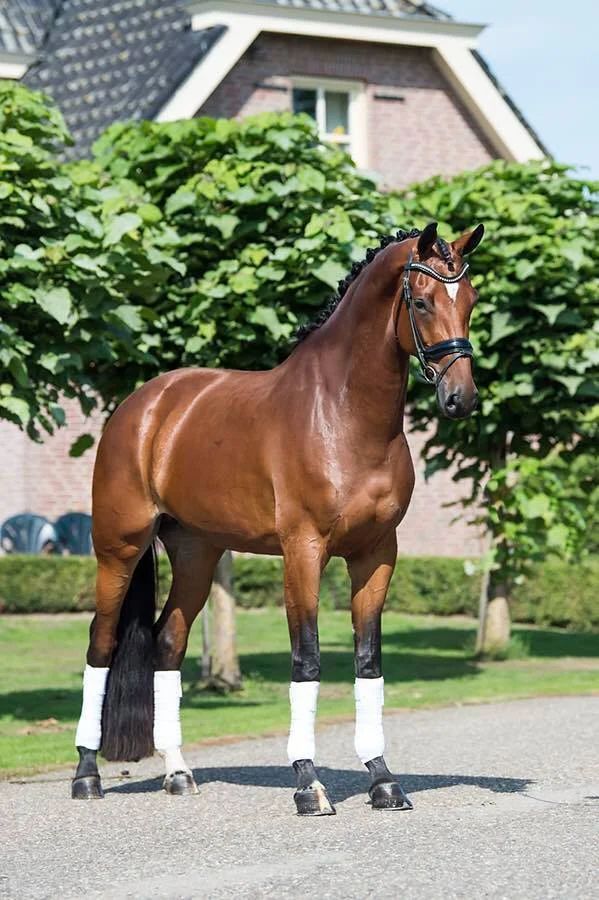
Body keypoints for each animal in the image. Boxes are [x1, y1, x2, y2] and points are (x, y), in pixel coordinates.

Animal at [72, 220, 484, 815]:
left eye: (470, 300)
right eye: (424, 301)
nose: (460, 398)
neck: (342, 414)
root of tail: (142, 406)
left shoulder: (377, 554)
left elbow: (369, 662)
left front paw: (383, 780)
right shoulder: (303, 551)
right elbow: (306, 660)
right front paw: (309, 784)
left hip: (197, 553)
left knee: (168, 642)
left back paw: (178, 772)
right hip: (118, 548)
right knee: (100, 644)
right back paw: (87, 775)